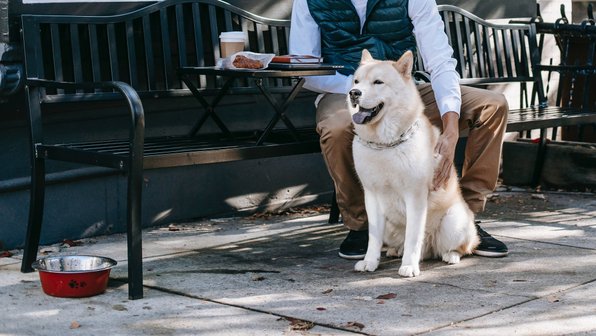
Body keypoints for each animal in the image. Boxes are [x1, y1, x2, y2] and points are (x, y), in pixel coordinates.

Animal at [350, 49, 480, 276]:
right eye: (356, 81)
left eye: (378, 82)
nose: (353, 93)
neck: (386, 144)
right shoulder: (372, 196)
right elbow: (373, 238)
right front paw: (369, 261)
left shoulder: (415, 196)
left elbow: (413, 236)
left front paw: (409, 265)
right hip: (390, 228)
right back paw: (395, 251)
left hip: (453, 222)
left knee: (461, 247)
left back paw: (450, 255)